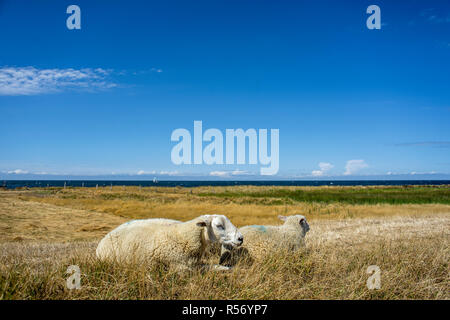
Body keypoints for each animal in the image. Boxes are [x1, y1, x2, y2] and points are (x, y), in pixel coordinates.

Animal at [95, 214, 243, 272]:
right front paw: (228, 269)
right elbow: (212, 268)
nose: (241, 238)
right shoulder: (181, 267)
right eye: (219, 226)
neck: (183, 235)